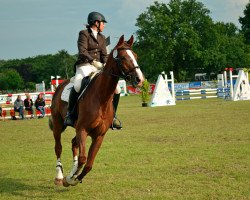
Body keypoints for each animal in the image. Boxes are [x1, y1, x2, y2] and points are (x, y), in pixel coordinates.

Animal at [48, 35, 145, 187]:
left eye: (135, 56)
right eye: (123, 57)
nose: (139, 79)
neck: (101, 99)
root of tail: (60, 85)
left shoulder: (98, 135)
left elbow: (88, 164)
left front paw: (75, 177)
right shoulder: (82, 129)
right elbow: (83, 158)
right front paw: (69, 178)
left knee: (74, 143)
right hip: (58, 125)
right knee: (58, 147)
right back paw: (59, 177)